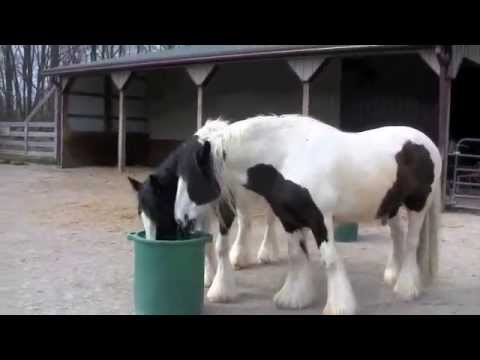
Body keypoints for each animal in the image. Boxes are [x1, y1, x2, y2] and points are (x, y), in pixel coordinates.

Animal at [129, 119, 284, 298]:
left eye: (159, 211)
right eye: (141, 214)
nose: (154, 245)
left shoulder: (225, 208)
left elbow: (220, 246)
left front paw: (221, 288)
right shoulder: (202, 214)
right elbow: (207, 244)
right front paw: (209, 277)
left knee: (270, 221)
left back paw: (267, 253)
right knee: (245, 223)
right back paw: (239, 258)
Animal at [173, 114, 442, 314]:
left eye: (192, 174)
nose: (180, 219)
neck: (287, 155)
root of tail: (428, 143)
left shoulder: (320, 219)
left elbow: (329, 259)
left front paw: (339, 306)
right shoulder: (289, 219)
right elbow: (297, 256)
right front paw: (293, 298)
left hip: (418, 205)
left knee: (411, 243)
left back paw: (406, 288)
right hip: (391, 207)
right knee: (397, 238)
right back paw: (392, 276)